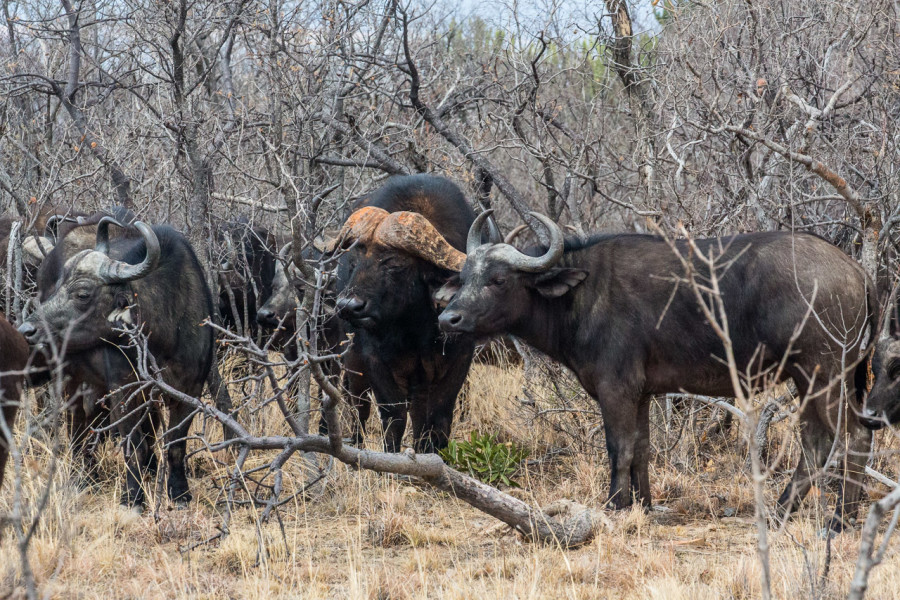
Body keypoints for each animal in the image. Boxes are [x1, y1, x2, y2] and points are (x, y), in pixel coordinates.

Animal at [19, 216, 214, 506]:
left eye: (83, 294)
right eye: (58, 286)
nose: (28, 329)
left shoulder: (190, 390)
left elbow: (176, 444)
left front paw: (179, 493)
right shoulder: (123, 390)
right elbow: (134, 445)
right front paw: (133, 497)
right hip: (71, 379)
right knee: (77, 428)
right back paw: (83, 477)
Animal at [326, 176, 478, 452]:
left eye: (394, 263)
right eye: (353, 262)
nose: (349, 306)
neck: (417, 329)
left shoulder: (458, 358)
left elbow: (438, 418)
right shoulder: (376, 360)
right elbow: (393, 417)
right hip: (353, 358)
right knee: (358, 406)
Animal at [442, 213, 880, 532]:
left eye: (498, 280)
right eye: (464, 278)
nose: (448, 318)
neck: (582, 295)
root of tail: (855, 269)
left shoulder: (615, 389)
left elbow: (618, 448)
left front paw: (614, 506)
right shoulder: (641, 394)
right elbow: (641, 448)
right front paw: (644, 505)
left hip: (825, 373)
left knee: (853, 437)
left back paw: (840, 521)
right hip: (810, 379)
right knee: (817, 443)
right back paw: (779, 513)